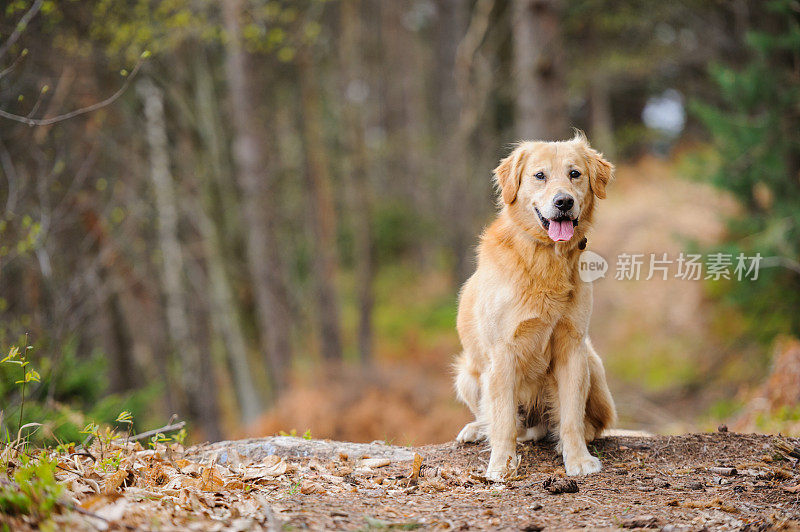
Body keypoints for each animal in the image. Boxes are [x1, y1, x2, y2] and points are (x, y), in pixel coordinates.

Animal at [454, 131, 616, 480]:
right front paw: (501, 464)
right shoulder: (502, 352)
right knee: (503, 421)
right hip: (468, 375)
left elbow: (571, 417)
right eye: (539, 175)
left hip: (592, 364)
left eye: (575, 174)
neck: (545, 259)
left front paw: (577, 458)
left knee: (590, 425)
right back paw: (478, 429)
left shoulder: (572, 347)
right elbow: (502, 421)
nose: (564, 202)